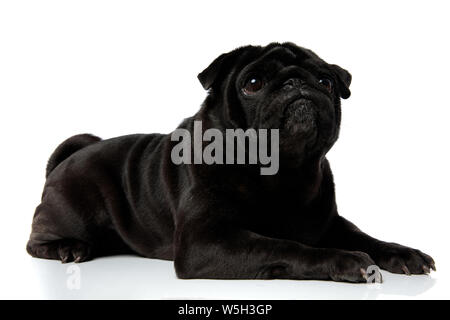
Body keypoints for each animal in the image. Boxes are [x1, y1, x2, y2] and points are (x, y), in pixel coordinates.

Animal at [26, 42, 434, 282]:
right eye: (252, 83)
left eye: (326, 81)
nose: (297, 83)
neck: (282, 171)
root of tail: (71, 156)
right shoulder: (206, 242)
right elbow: (283, 247)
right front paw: (345, 261)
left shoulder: (328, 222)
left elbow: (367, 237)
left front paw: (403, 254)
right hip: (71, 211)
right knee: (35, 240)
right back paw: (69, 249)